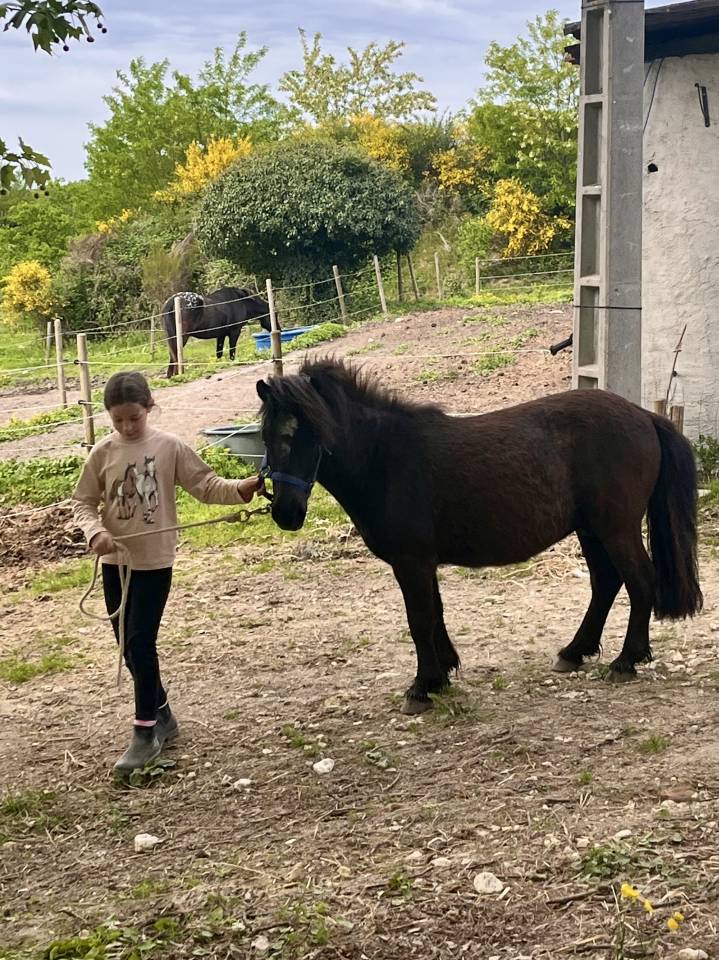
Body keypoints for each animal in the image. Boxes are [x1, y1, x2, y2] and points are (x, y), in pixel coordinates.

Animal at [256, 358, 703, 715]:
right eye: (267, 437)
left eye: (311, 433)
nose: (286, 513)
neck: (386, 459)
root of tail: (644, 416)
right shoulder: (422, 563)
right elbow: (434, 613)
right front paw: (442, 673)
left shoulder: (411, 562)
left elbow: (419, 619)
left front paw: (422, 686)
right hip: (591, 530)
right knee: (606, 583)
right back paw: (575, 652)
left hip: (615, 527)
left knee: (639, 580)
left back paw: (627, 660)